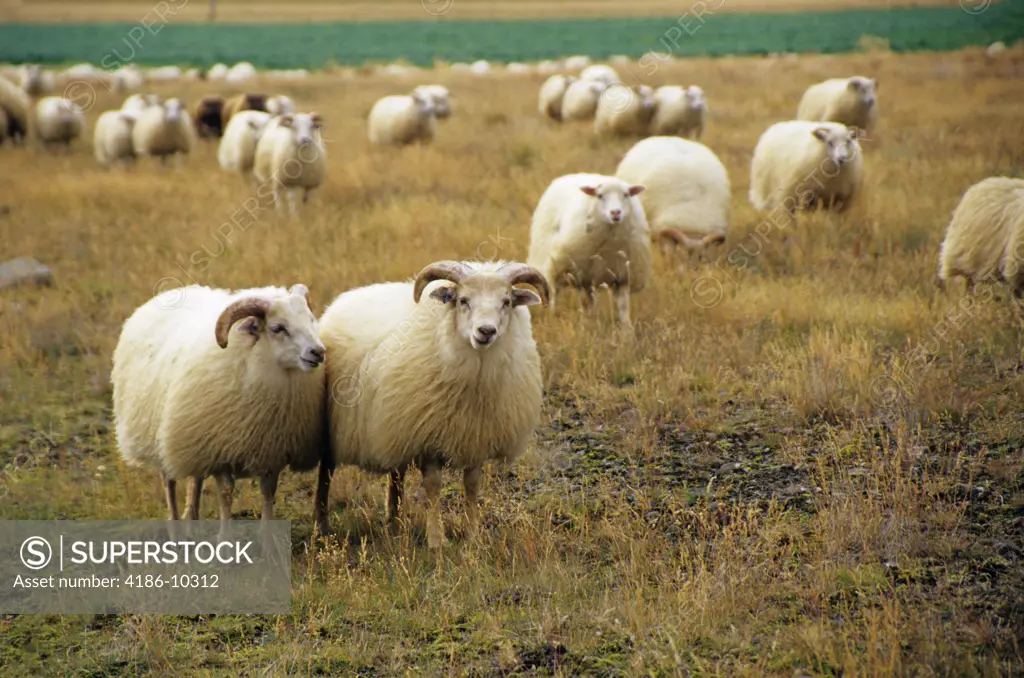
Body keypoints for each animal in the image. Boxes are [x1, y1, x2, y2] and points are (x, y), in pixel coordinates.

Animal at [114, 280, 325, 532]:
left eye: (310, 320)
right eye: (277, 328)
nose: (318, 352)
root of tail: (169, 293)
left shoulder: (270, 451)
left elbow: (268, 492)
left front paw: (267, 535)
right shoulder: (220, 451)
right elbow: (225, 493)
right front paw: (225, 536)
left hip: (193, 437)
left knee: (195, 478)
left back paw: (192, 518)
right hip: (159, 437)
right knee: (169, 481)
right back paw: (175, 527)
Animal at [319, 259, 548, 548]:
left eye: (506, 301)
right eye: (462, 300)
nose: (486, 331)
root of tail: (344, 299)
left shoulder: (476, 436)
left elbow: (472, 485)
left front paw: (472, 535)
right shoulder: (427, 438)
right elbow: (433, 487)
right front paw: (437, 540)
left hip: (394, 424)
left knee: (396, 475)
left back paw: (395, 521)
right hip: (334, 425)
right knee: (325, 474)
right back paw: (321, 524)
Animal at [528, 174, 647, 325]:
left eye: (626, 195)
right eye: (600, 195)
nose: (615, 212)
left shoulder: (622, 275)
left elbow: (623, 307)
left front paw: (627, 328)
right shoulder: (581, 275)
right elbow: (585, 303)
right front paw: (584, 325)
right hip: (556, 264)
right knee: (555, 292)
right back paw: (554, 315)